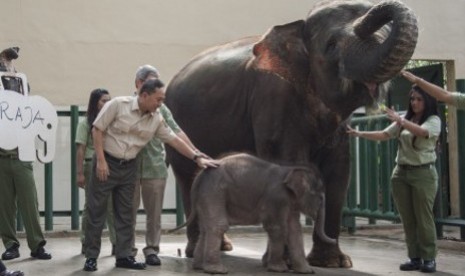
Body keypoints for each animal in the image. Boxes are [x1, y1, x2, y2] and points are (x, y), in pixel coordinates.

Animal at [178, 153, 334, 274]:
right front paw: (279, 269)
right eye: (320, 198)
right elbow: (277, 228)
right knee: (218, 225)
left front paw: (307, 271)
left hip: (206, 196)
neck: (290, 170)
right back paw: (217, 270)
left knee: (205, 229)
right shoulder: (276, 198)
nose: (334, 239)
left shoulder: (290, 202)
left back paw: (199, 267)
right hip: (214, 192)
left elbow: (295, 230)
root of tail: (199, 177)